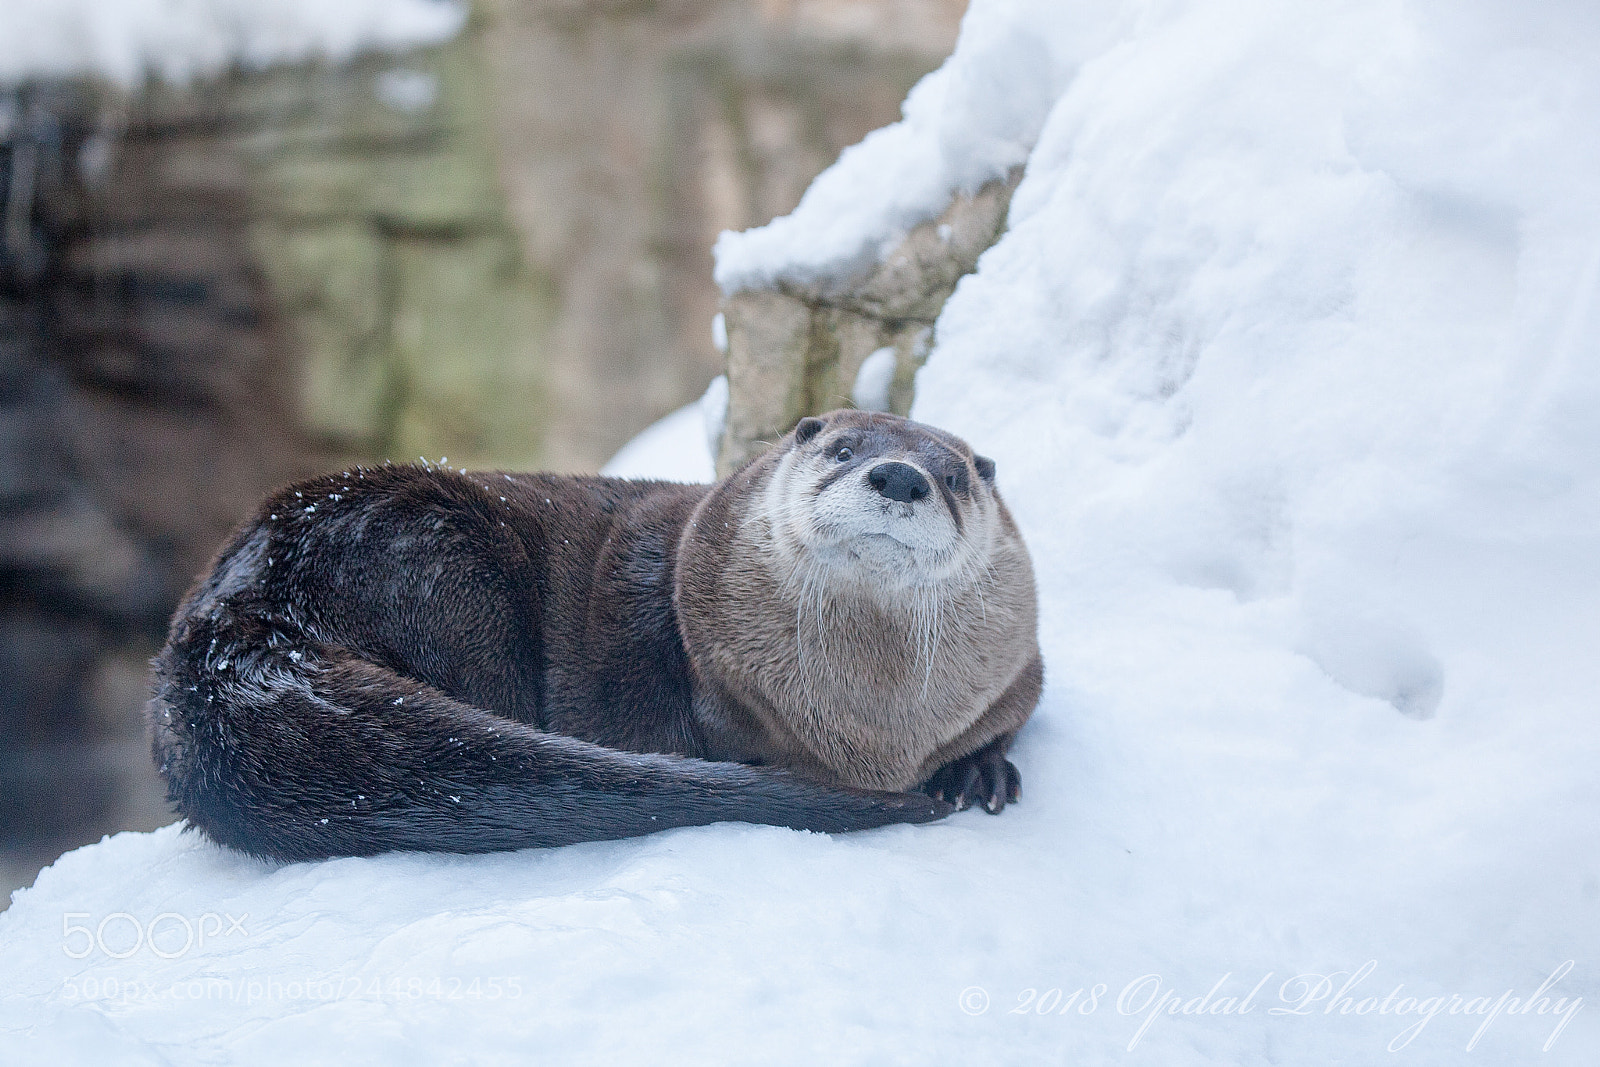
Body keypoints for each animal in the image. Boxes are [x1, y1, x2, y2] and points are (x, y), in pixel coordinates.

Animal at [149, 410, 1041, 861]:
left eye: (954, 475)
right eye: (843, 448)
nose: (900, 475)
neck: (873, 733)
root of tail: (228, 628)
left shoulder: (1016, 675)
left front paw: (979, 770)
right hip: (433, 557)